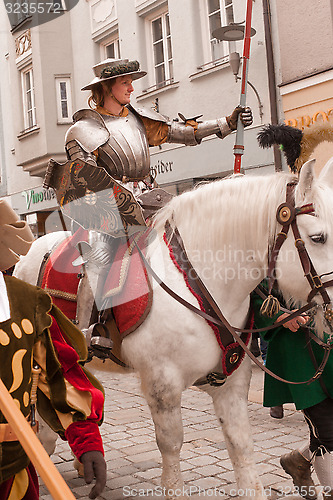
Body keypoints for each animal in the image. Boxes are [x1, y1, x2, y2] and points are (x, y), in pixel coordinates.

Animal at [13, 159, 333, 496]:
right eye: (318, 238)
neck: (198, 279)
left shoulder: (232, 384)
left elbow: (242, 448)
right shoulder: (162, 385)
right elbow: (171, 446)